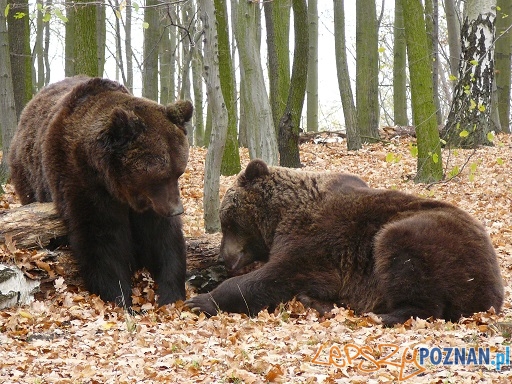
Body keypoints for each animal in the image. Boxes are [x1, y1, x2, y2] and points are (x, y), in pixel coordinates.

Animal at [10, 76, 194, 308]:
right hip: (28, 177)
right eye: (159, 176)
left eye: (178, 171)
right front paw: (120, 297)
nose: (177, 210)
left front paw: (170, 294)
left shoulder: (150, 205)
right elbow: (102, 238)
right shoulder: (83, 181)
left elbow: (163, 237)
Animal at [185, 159, 504, 324]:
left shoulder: (316, 240)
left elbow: (278, 274)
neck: (279, 215)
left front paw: (200, 300)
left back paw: (380, 315)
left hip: (425, 236)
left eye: (228, 222)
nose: (225, 258)